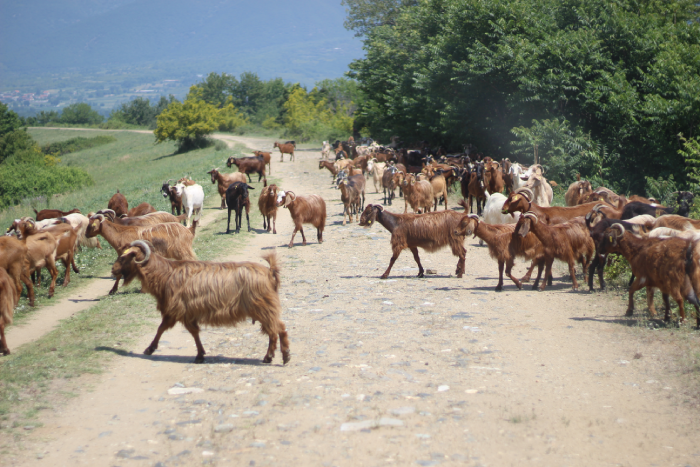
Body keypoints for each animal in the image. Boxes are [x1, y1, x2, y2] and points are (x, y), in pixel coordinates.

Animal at [110, 241, 290, 366]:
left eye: (124, 257)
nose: (113, 270)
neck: (165, 274)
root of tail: (270, 272)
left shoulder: (175, 311)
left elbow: (162, 329)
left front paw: (150, 349)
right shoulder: (188, 312)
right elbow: (194, 332)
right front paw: (200, 354)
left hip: (262, 308)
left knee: (276, 329)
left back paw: (276, 356)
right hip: (264, 309)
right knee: (277, 329)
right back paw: (277, 356)